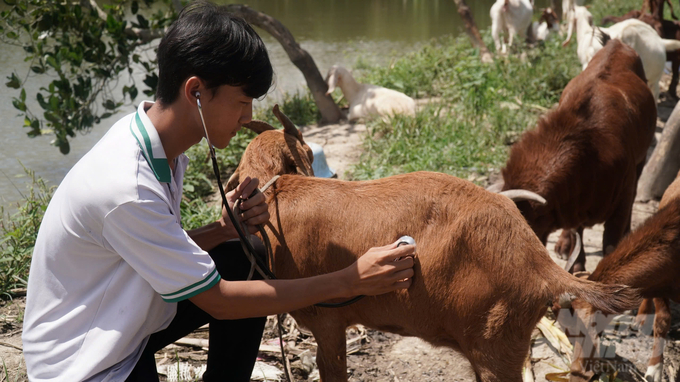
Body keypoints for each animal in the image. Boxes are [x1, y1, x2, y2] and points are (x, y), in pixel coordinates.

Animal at [502, 38, 656, 272]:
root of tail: (617, 43)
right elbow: (577, 231)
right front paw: (577, 263)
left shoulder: (621, 198)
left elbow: (610, 241)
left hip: (641, 160)